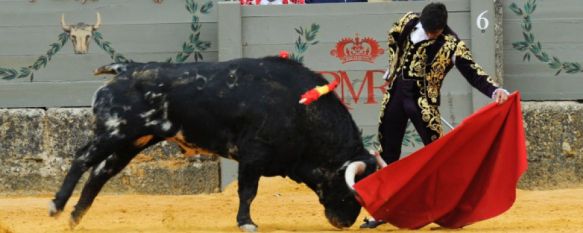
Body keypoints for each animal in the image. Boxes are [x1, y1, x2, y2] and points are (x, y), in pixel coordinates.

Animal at [50, 56, 378, 231]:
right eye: (351, 191)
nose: (346, 222)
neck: (301, 109)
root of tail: (126, 69)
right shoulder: (253, 155)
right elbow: (248, 192)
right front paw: (246, 222)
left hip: (133, 140)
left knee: (100, 173)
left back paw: (75, 219)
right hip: (115, 132)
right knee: (82, 158)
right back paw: (56, 206)